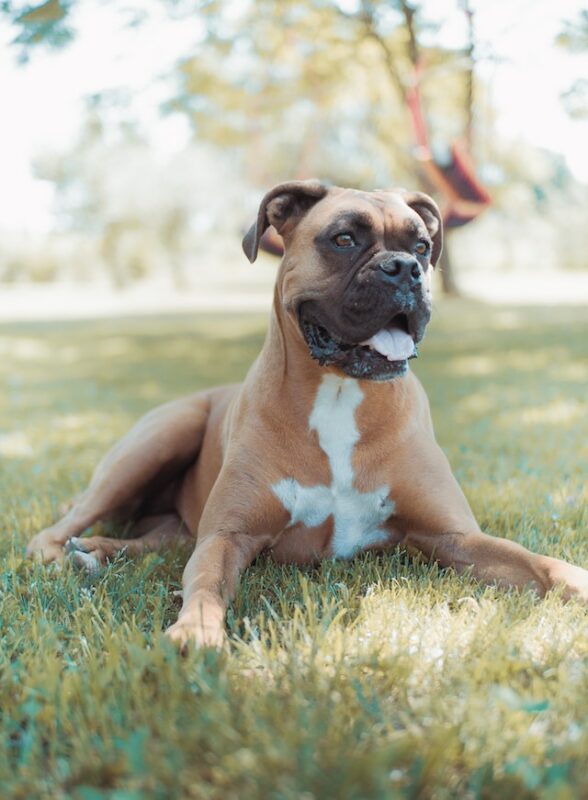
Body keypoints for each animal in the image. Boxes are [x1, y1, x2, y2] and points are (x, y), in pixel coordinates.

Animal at [27, 180, 588, 644]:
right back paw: (61, 553)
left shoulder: (456, 539)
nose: (405, 269)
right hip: (162, 435)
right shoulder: (227, 537)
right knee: (66, 524)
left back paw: (95, 552)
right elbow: (205, 583)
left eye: (422, 247)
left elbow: (540, 563)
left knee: (154, 544)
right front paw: (196, 631)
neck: (341, 392)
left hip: (176, 514)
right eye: (343, 239)